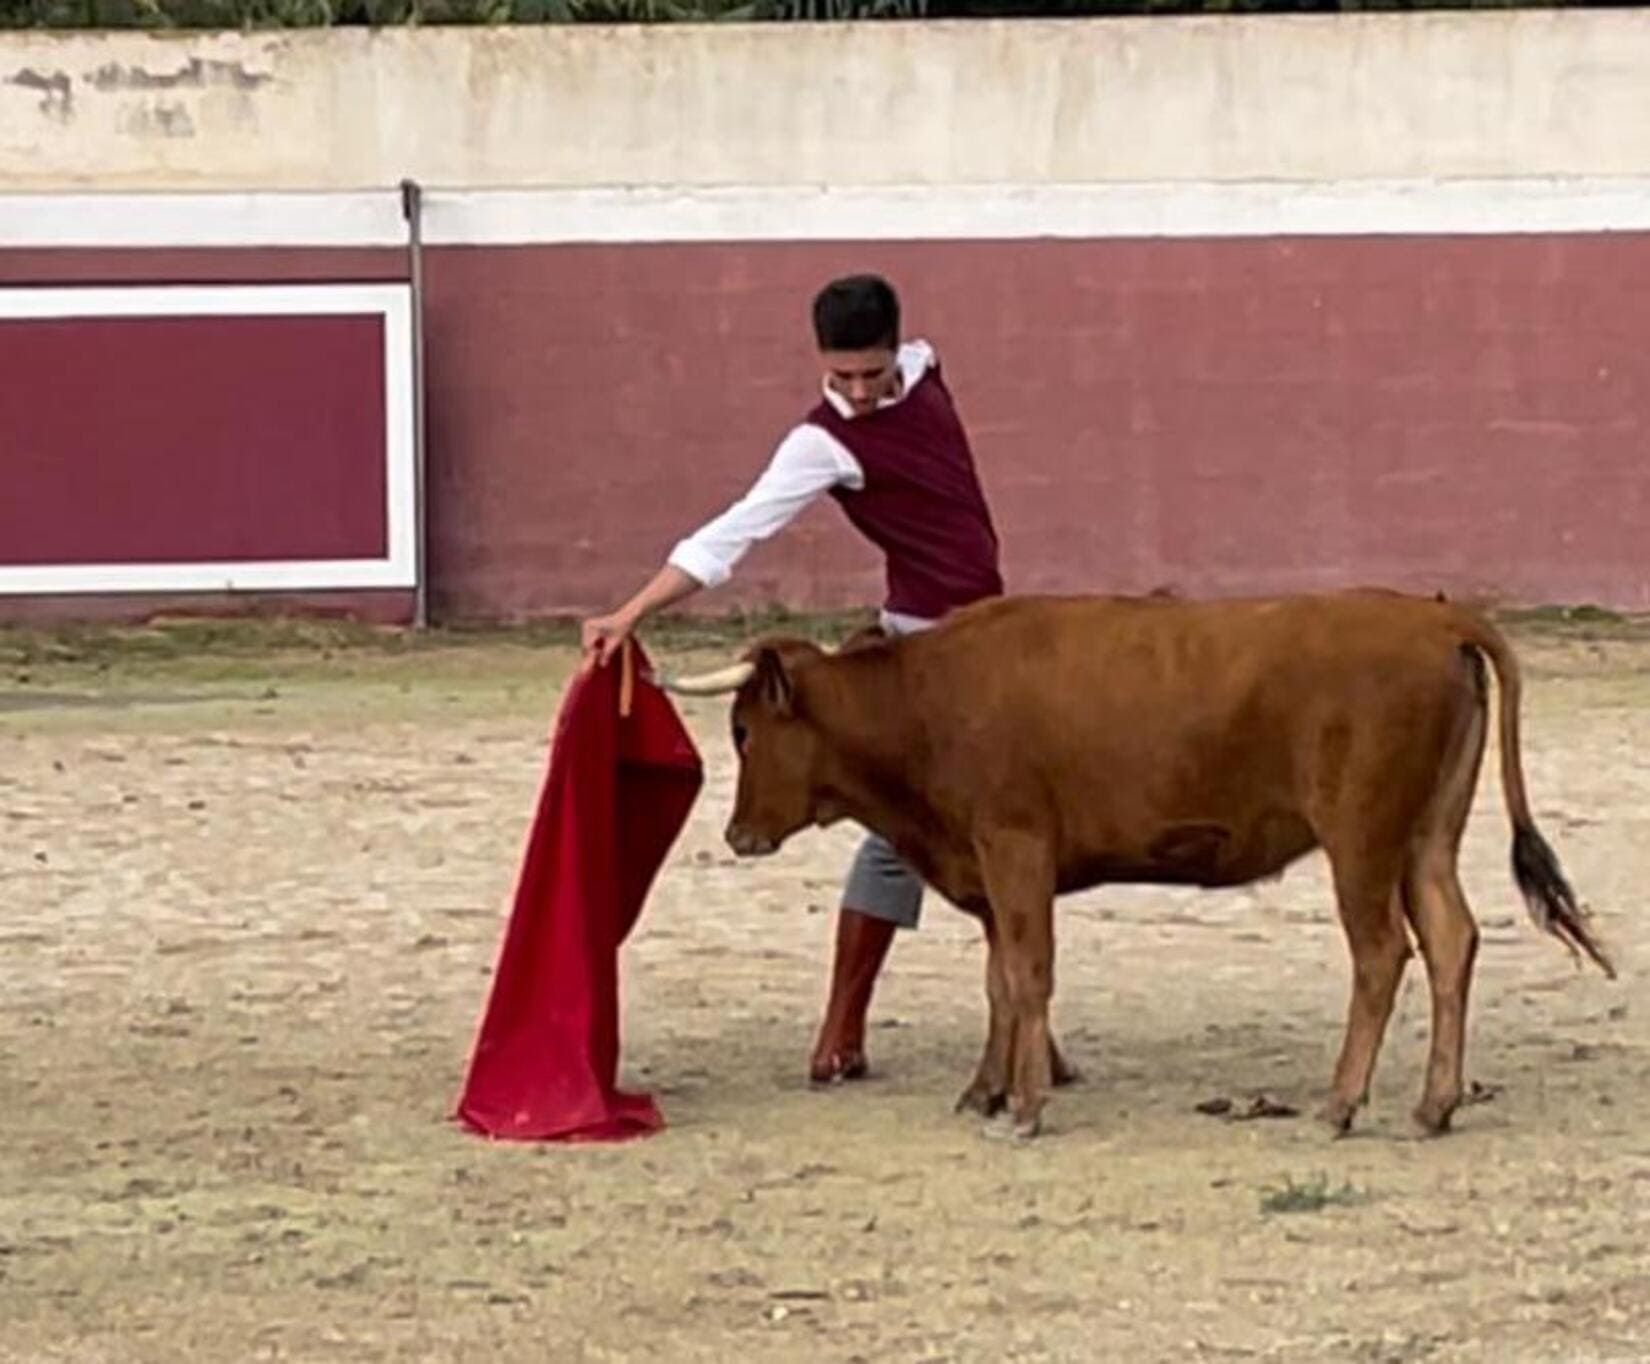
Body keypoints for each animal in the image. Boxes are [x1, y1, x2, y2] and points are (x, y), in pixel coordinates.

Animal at [656, 593, 1610, 1134]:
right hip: (1425, 837)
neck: (925, 703)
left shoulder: (1014, 850)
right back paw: (1435, 1104)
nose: (737, 835)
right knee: (1451, 941)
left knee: (1382, 955)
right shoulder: (992, 870)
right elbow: (1001, 981)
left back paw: (1342, 1104)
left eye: (742, 729)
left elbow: (1028, 975)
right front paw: (986, 1092)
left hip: (1361, 840)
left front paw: (1025, 1107)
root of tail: (1437, 616)